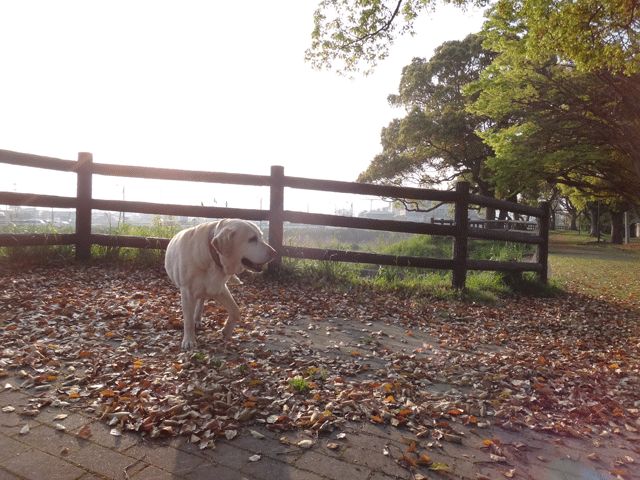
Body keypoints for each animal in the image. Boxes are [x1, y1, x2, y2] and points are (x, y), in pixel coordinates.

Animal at [165, 219, 276, 350]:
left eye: (261, 236)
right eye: (252, 239)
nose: (274, 253)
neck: (212, 256)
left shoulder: (219, 289)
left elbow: (235, 310)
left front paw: (227, 331)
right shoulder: (187, 291)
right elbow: (188, 320)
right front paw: (189, 340)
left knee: (201, 302)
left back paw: (197, 318)